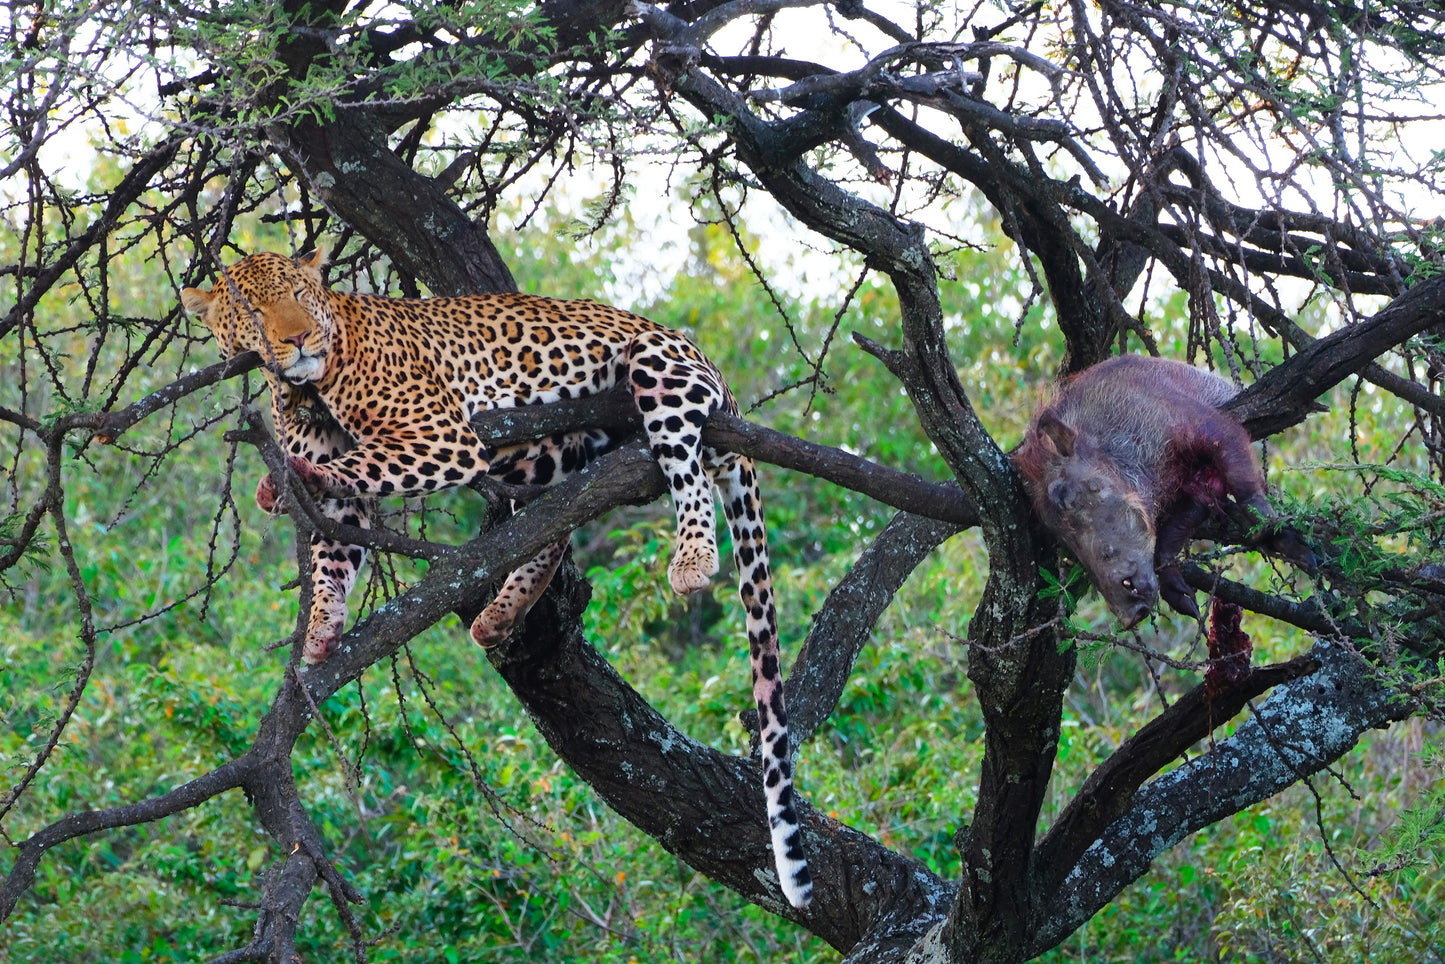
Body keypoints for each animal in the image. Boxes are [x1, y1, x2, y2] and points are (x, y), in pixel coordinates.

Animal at [180, 247, 813, 910]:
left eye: (302, 295)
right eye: (253, 311)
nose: (298, 338)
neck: (306, 384)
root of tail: (707, 361)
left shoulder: (440, 435)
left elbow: (357, 462)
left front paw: (292, 481)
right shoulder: (345, 497)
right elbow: (332, 556)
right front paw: (322, 628)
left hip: (658, 367)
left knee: (684, 465)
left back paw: (692, 557)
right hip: (557, 451)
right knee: (555, 521)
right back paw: (503, 612)